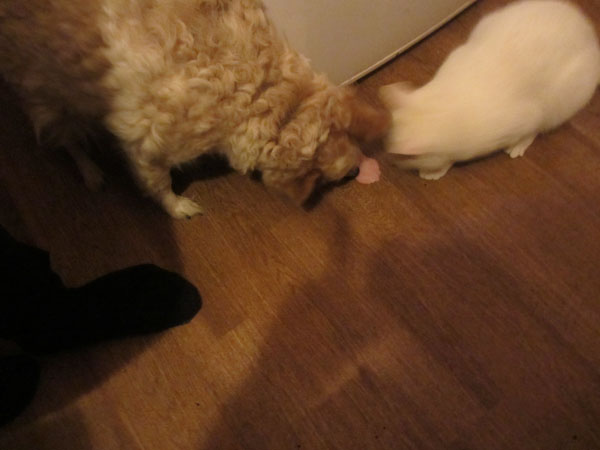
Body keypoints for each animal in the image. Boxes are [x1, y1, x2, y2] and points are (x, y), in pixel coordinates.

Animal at [0, 0, 389, 218]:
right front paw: (177, 208)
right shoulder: (145, 145)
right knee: (67, 141)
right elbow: (158, 184)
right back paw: (90, 171)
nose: (359, 170)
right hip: (48, 97)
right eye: (332, 177)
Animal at [380, 0, 600, 180]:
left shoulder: (529, 118)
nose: (390, 163)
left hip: (562, 101)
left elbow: (529, 133)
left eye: (398, 155)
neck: (437, 110)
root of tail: (587, 32)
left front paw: (433, 172)